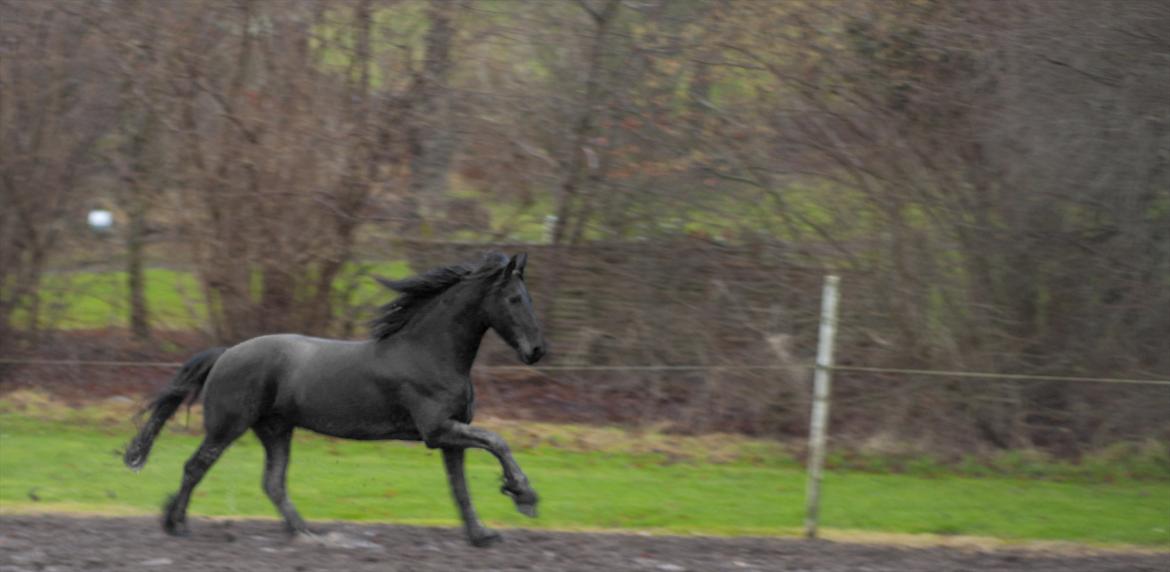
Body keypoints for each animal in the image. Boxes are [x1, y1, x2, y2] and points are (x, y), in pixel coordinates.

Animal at [125, 251, 545, 547]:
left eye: (527, 297)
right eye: (513, 299)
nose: (538, 350)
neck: (429, 352)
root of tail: (226, 353)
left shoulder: (451, 436)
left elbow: (460, 488)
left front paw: (482, 535)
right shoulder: (438, 430)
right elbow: (497, 441)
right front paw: (524, 496)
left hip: (275, 430)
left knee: (272, 483)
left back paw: (307, 533)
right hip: (227, 427)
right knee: (195, 467)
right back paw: (176, 525)